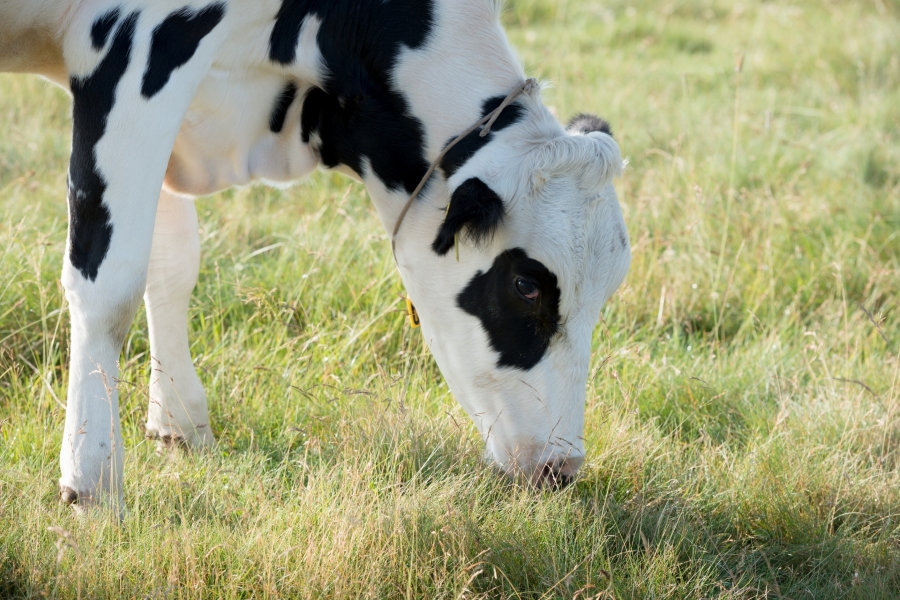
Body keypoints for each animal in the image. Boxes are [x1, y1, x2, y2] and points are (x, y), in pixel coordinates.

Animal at [1, 0, 632, 510]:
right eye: (526, 285)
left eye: (605, 295)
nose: (561, 467)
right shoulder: (140, 52)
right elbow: (111, 284)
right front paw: (92, 479)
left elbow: (171, 262)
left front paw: (178, 421)